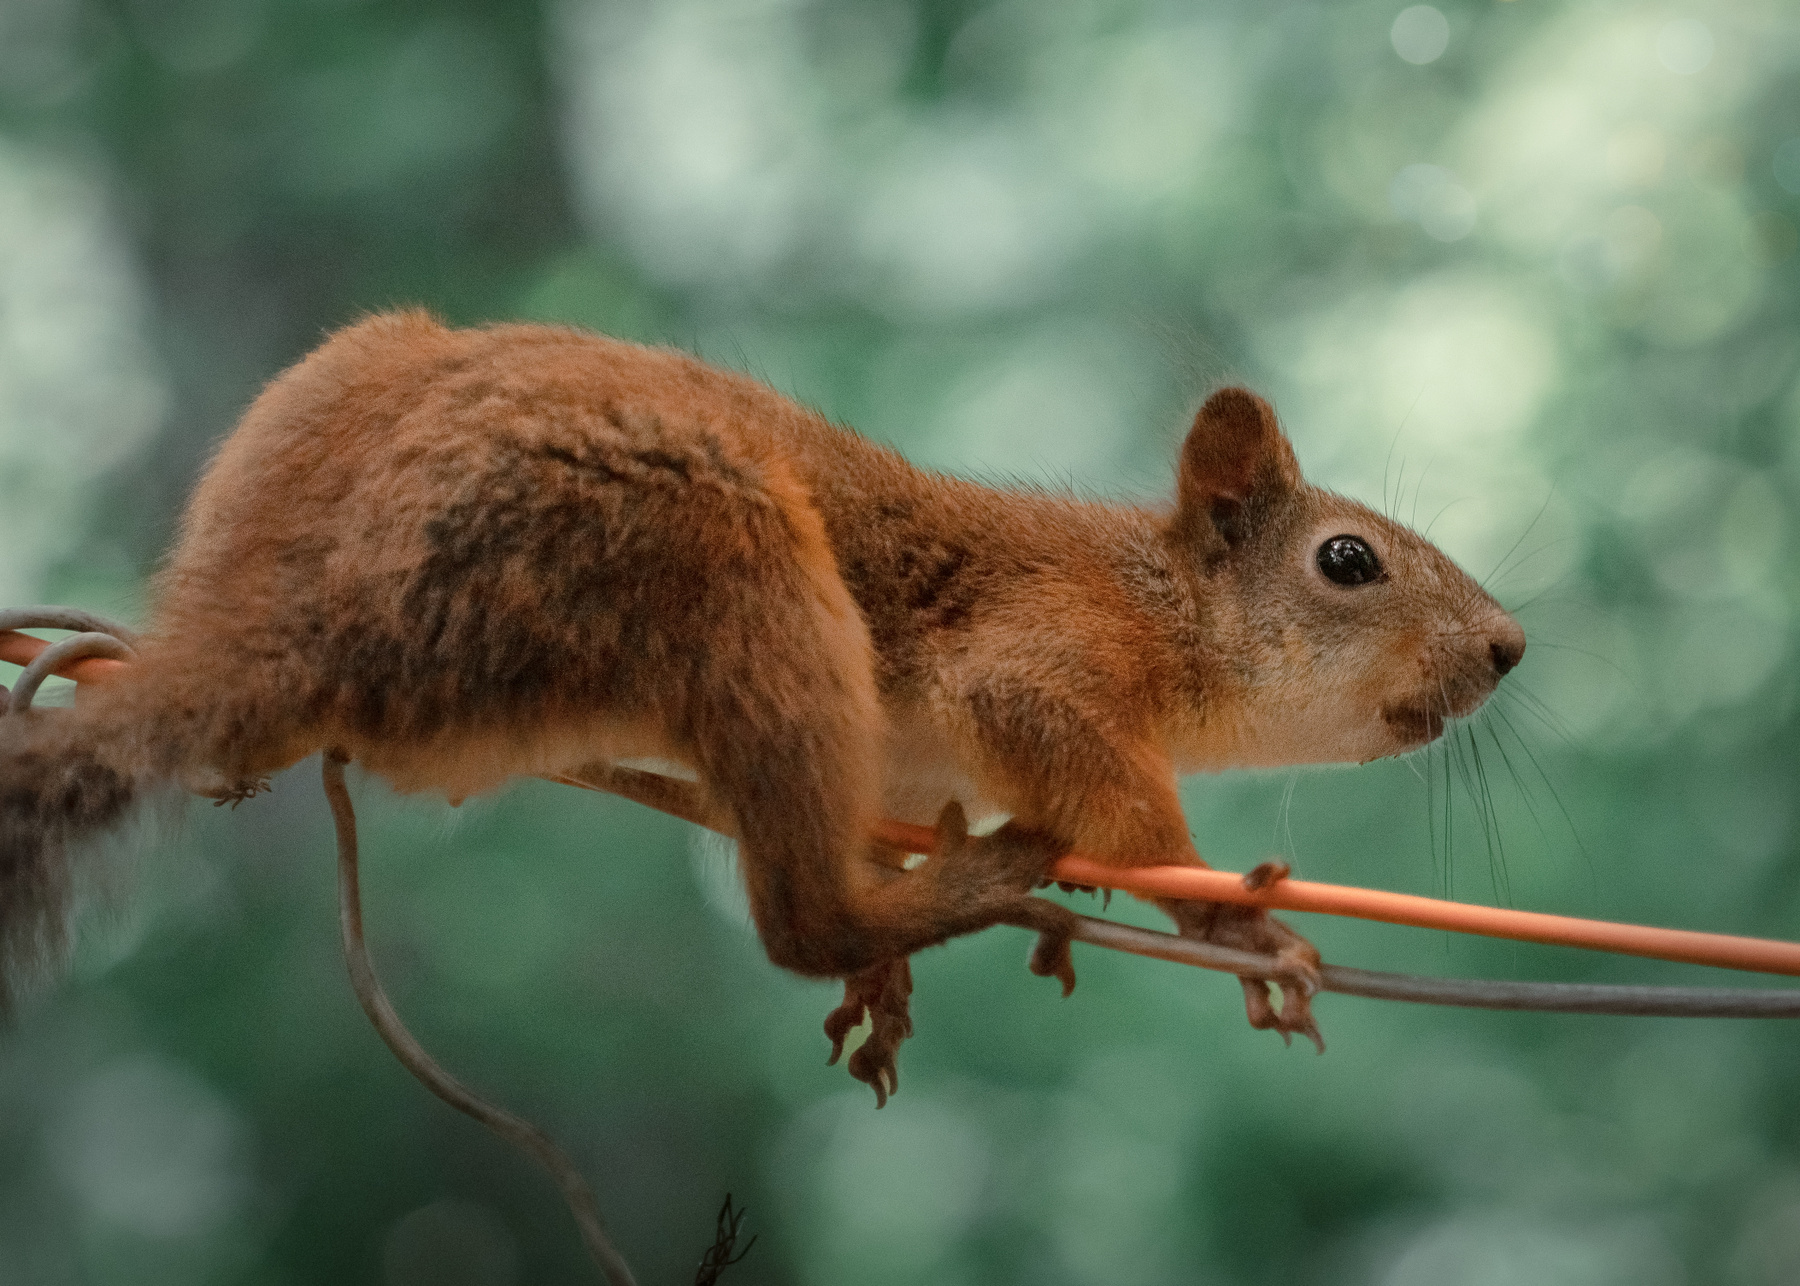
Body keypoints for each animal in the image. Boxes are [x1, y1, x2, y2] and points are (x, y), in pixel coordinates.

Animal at [0, 310, 1524, 1100]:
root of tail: (303, 615)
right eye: (1348, 561)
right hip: (736, 570)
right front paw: (1232, 921)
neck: (1161, 600)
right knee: (796, 916)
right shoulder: (1036, 651)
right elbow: (1116, 800)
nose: (1511, 647)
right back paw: (973, 888)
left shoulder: (909, 768)